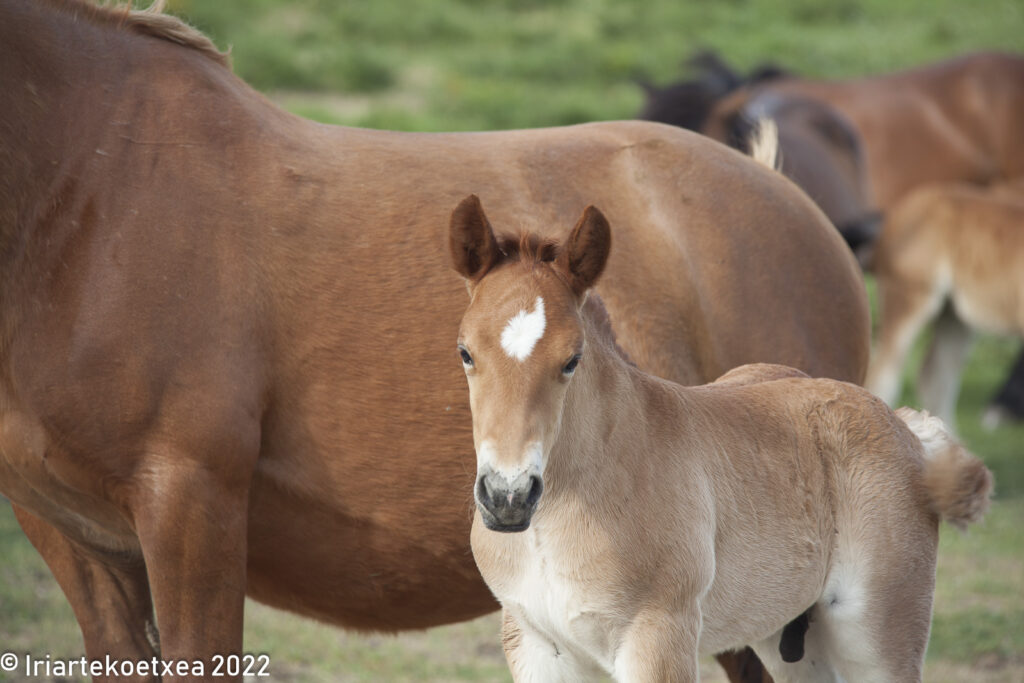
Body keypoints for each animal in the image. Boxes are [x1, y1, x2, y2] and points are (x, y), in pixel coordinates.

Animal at [450, 196, 991, 683]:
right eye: (465, 352)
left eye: (572, 359)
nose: (508, 497)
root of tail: (905, 426)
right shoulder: (534, 643)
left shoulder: (659, 637)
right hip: (795, 642)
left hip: (877, 638)